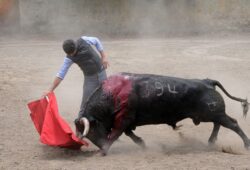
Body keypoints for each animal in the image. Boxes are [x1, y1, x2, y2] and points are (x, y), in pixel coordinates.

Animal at [74, 72, 250, 155]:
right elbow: (129, 133)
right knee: (219, 123)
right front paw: (142, 144)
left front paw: (104, 151)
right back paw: (211, 142)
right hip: (210, 114)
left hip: (213, 112)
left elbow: (117, 133)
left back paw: (246, 144)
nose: (100, 145)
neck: (113, 94)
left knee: (232, 123)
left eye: (92, 131)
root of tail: (207, 81)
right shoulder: (126, 120)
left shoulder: (124, 118)